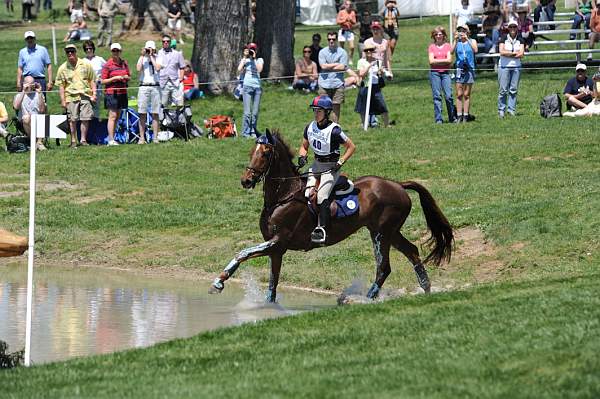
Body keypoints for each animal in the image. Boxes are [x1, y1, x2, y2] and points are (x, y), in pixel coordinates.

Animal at [209, 130, 452, 302]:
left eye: (266, 153)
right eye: (252, 152)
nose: (246, 180)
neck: (282, 197)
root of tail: (398, 185)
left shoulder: (278, 242)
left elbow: (242, 253)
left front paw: (218, 282)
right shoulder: (276, 250)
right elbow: (272, 283)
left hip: (381, 233)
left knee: (384, 267)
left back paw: (366, 300)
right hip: (389, 232)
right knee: (412, 252)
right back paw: (426, 288)